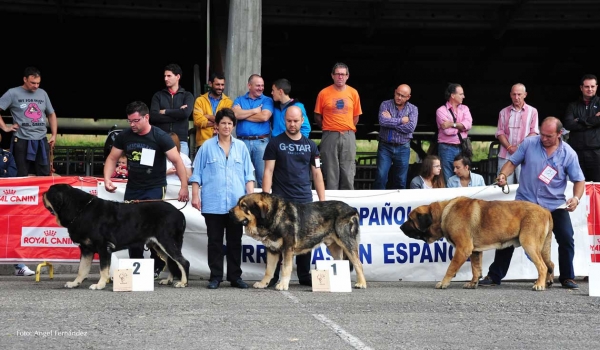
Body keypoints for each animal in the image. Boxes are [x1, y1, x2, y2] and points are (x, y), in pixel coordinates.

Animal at [42, 183, 190, 290]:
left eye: (49, 193)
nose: (42, 193)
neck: (80, 210)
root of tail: (180, 213)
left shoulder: (103, 247)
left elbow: (103, 269)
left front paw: (100, 284)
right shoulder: (86, 249)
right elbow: (82, 269)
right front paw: (75, 283)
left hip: (167, 241)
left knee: (182, 262)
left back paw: (183, 282)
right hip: (158, 244)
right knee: (171, 261)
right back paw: (169, 280)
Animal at [230, 193, 368, 292]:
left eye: (243, 206)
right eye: (238, 204)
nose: (230, 212)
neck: (273, 216)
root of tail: (353, 209)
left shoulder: (287, 249)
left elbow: (286, 268)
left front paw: (283, 285)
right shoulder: (272, 250)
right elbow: (269, 270)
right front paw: (264, 283)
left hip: (347, 242)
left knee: (358, 264)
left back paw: (361, 283)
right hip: (333, 246)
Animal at [400, 196, 556, 292]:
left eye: (410, 219)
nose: (400, 227)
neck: (443, 214)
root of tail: (546, 211)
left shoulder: (463, 249)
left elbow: (451, 268)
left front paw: (443, 283)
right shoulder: (474, 251)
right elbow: (476, 269)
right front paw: (473, 283)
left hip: (529, 244)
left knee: (542, 266)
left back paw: (539, 285)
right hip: (541, 248)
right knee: (550, 265)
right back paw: (547, 282)